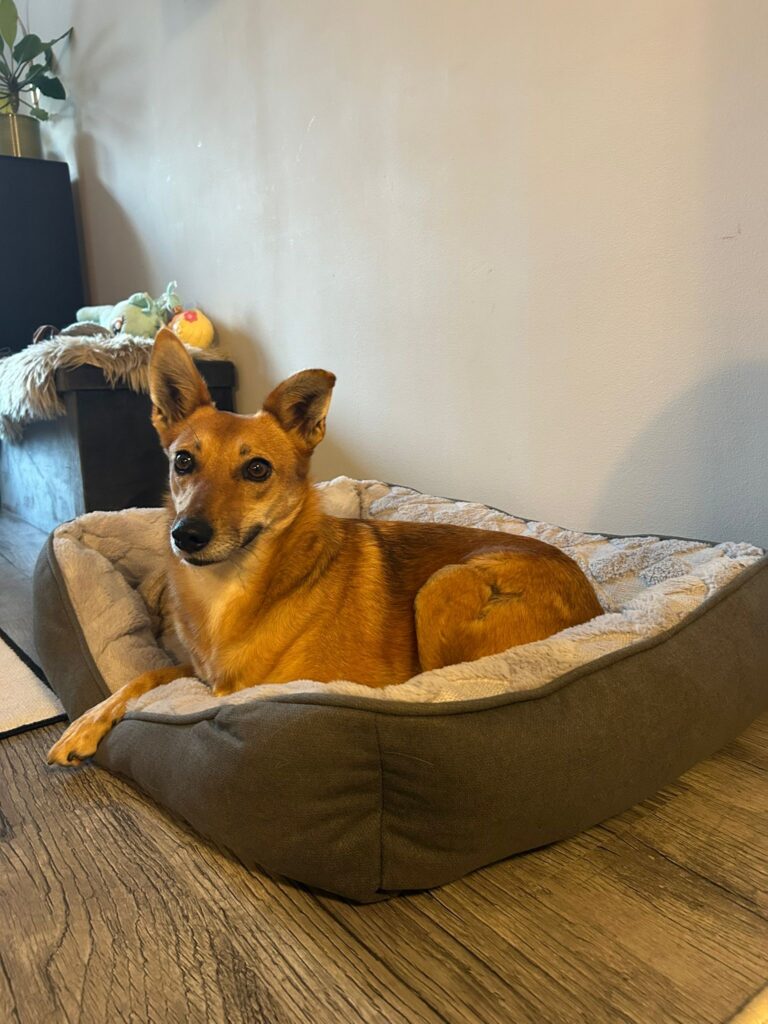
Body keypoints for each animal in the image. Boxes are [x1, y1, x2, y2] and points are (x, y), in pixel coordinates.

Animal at [48, 328, 602, 765]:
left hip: (446, 585)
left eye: (257, 469)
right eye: (183, 461)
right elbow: (148, 675)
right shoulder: (203, 678)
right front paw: (85, 725)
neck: (234, 586)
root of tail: (594, 601)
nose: (186, 535)